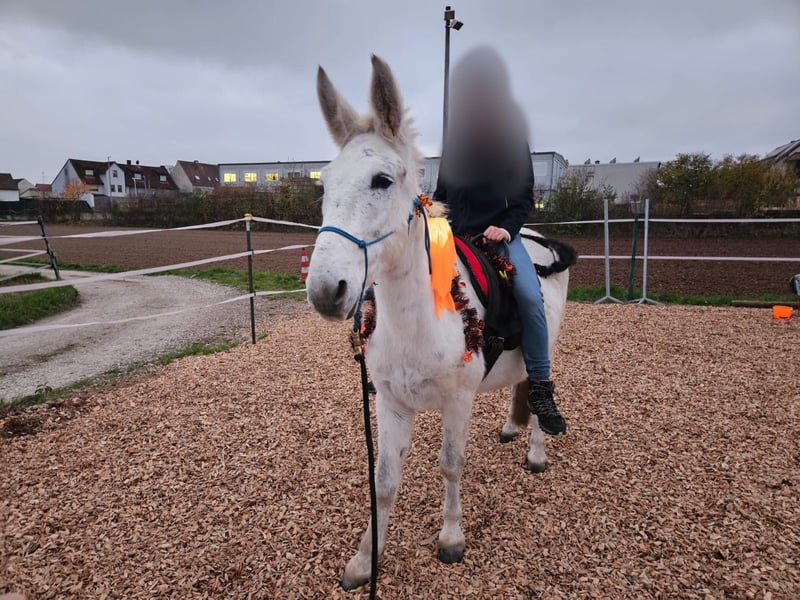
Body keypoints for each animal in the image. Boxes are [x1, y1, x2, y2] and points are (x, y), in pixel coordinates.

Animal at [307, 55, 572, 590]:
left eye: (382, 180)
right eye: (325, 183)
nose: (325, 290)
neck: (417, 323)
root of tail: (539, 240)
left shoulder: (456, 402)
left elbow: (451, 466)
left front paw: (451, 538)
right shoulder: (390, 404)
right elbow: (384, 483)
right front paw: (366, 559)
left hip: (547, 345)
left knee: (539, 386)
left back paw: (536, 450)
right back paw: (511, 427)